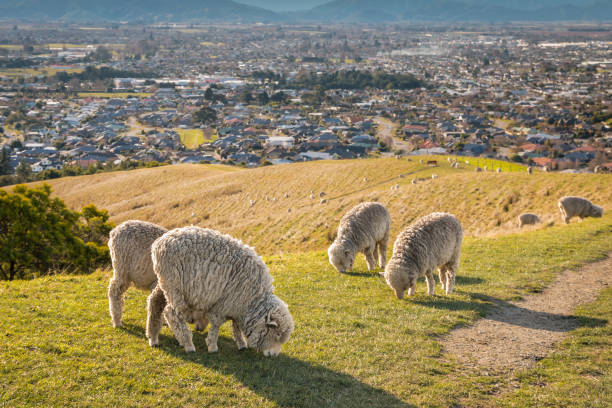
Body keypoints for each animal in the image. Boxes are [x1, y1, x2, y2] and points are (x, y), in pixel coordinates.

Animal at [146, 226, 294, 356]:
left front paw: (241, 344)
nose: (274, 355)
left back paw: (153, 338)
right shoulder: (223, 305)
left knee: (154, 303)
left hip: (165, 283)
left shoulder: (236, 307)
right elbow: (217, 325)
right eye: (277, 334)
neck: (253, 302)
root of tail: (158, 244)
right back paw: (188, 344)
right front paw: (212, 346)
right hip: (175, 287)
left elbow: (236, 326)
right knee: (171, 313)